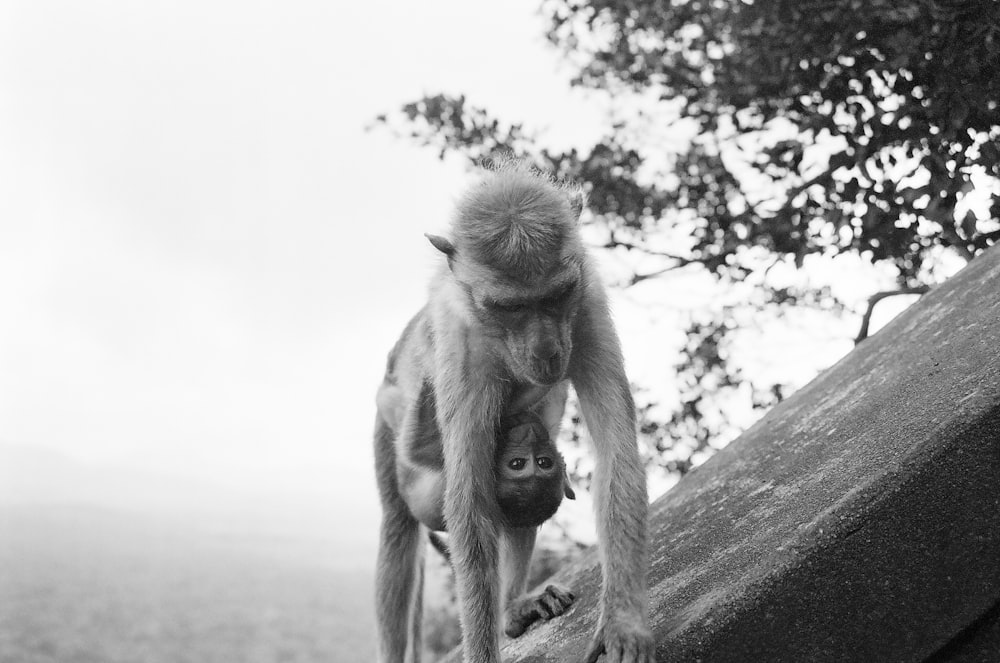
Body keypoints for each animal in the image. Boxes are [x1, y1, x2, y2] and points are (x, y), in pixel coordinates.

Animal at [372, 161, 652, 663]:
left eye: (557, 295)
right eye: (511, 306)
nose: (546, 353)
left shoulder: (587, 305)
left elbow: (616, 453)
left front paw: (623, 621)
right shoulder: (462, 350)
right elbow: (471, 507)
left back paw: (511, 607)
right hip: (387, 427)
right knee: (398, 535)